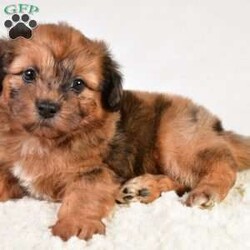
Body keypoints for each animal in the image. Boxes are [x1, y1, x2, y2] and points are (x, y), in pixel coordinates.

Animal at [0, 23, 249, 240]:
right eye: (29, 74)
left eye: (78, 84)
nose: (47, 107)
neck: (40, 140)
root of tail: (215, 126)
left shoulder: (95, 172)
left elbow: (83, 196)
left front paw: (73, 226)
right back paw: (145, 188)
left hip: (179, 141)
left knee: (222, 165)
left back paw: (206, 190)